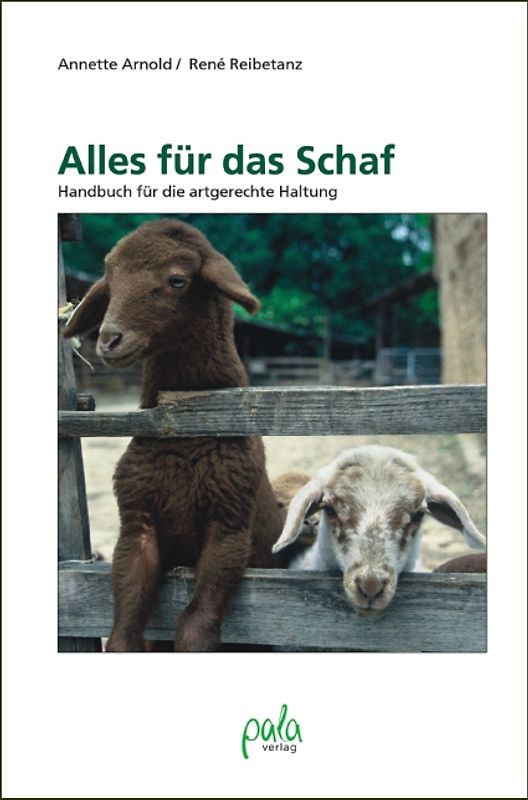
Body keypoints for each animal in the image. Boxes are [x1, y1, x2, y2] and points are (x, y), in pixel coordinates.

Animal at [64, 218, 287, 651]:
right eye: (110, 282)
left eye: (178, 280)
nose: (108, 339)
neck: (186, 431)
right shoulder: (137, 525)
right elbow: (124, 632)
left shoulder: (229, 524)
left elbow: (195, 625)